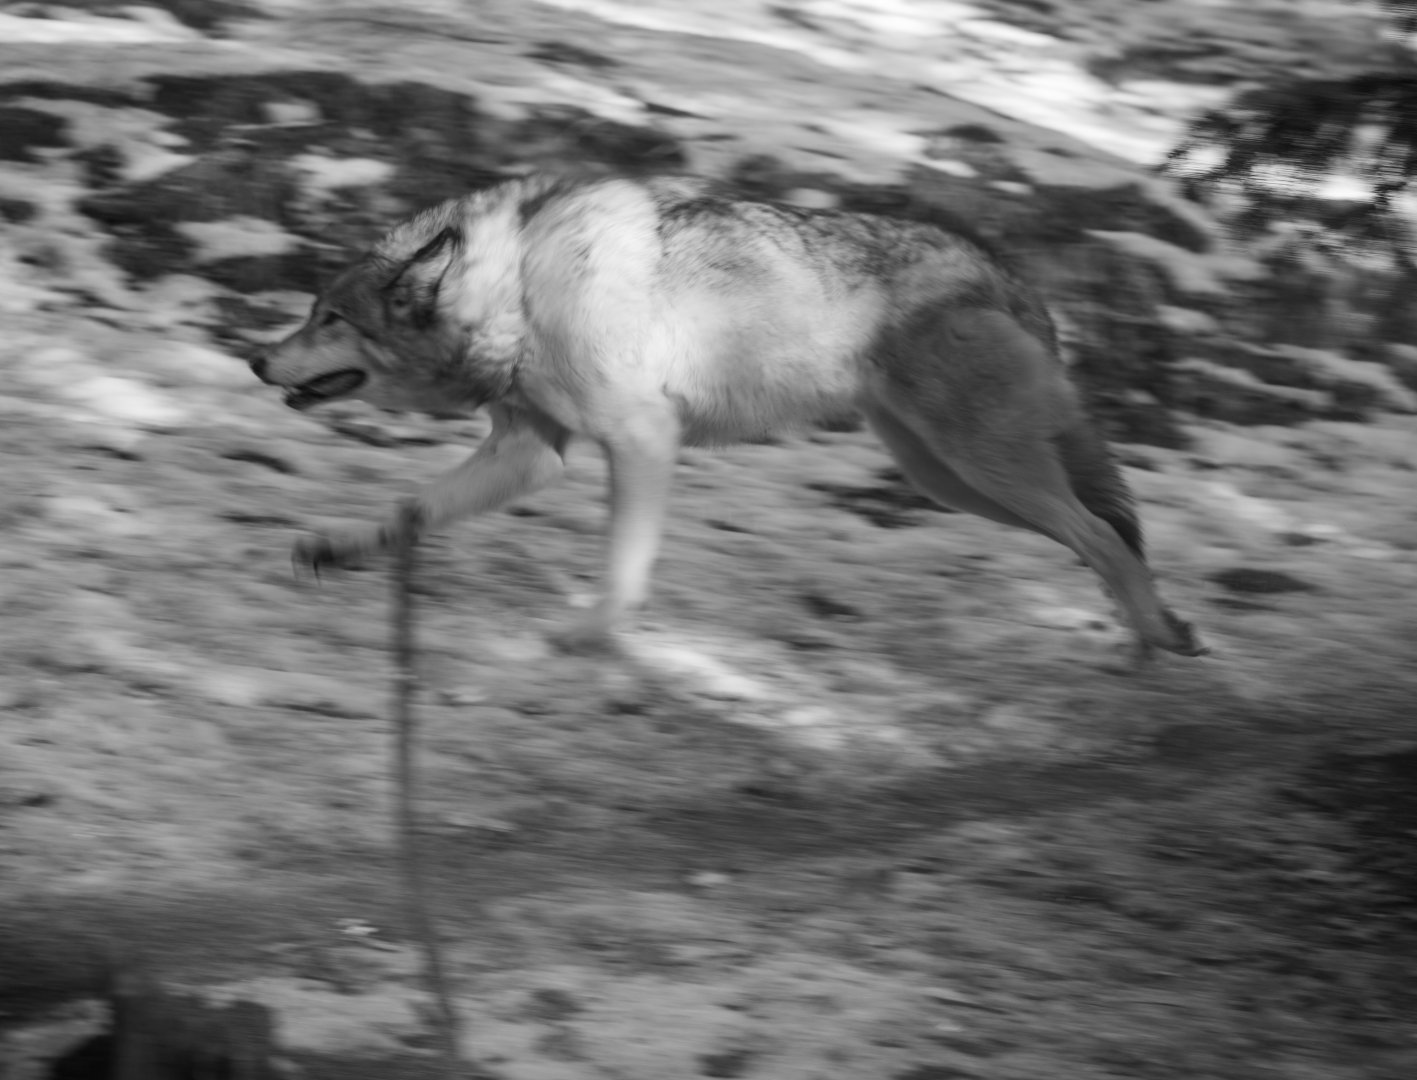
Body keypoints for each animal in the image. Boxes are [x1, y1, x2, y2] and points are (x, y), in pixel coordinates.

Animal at [250, 172, 1204, 658]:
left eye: (327, 318)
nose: (256, 359)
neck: (514, 291)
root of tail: (1002, 271)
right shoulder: (534, 451)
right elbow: (409, 510)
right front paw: (336, 549)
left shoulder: (642, 440)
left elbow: (623, 568)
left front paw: (591, 635)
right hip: (950, 479)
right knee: (1101, 536)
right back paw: (1151, 630)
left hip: (979, 468)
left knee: (1104, 535)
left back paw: (1158, 638)